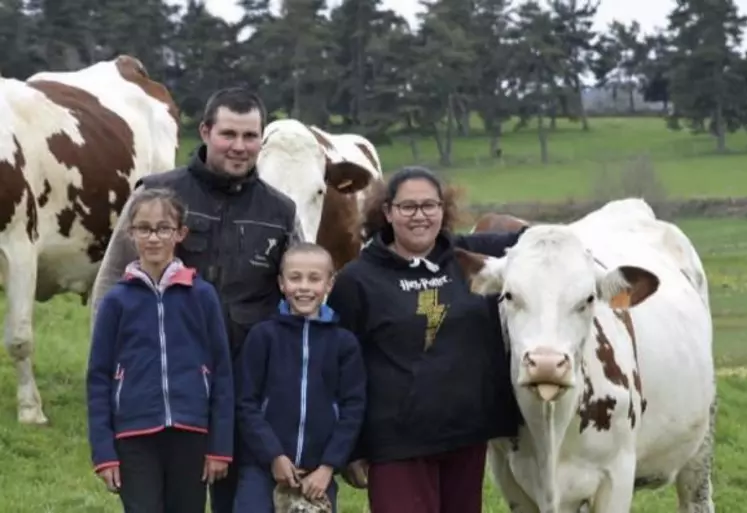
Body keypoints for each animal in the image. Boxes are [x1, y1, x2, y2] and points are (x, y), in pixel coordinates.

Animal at [458, 197, 716, 512]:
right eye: (508, 295)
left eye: (589, 298)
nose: (546, 363)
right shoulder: (510, 479)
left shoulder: (617, 474)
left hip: (700, 445)